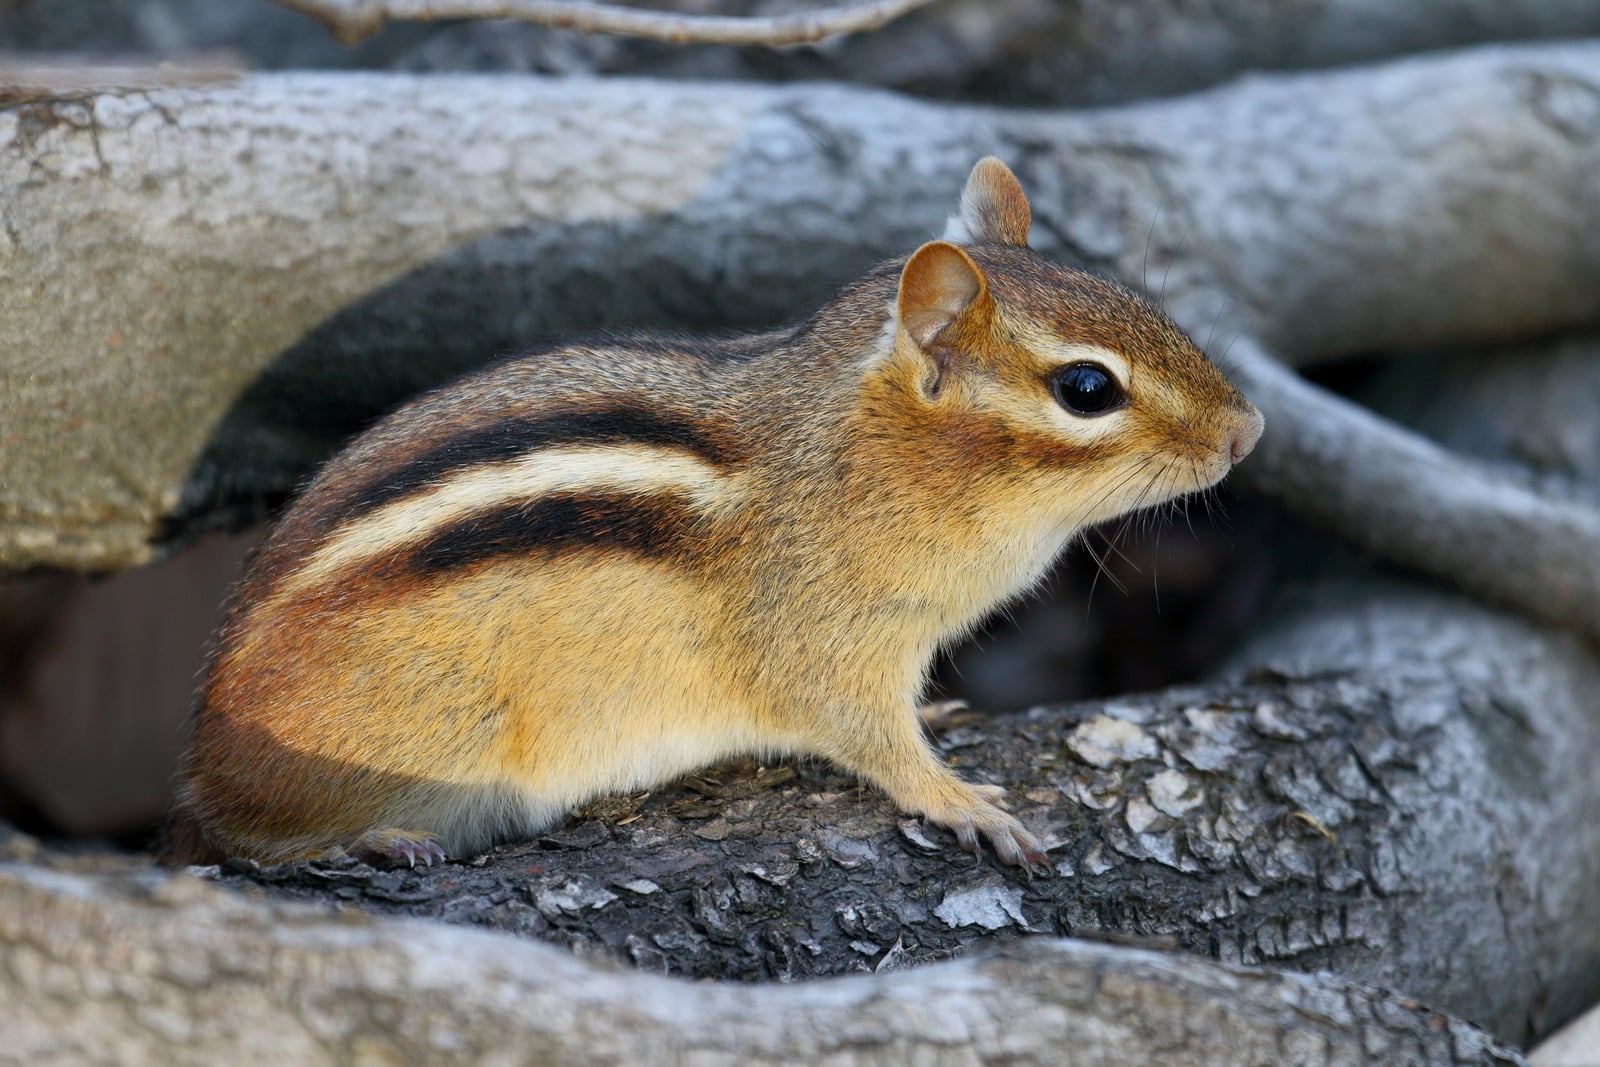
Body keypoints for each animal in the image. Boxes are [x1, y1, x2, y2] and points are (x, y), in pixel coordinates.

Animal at [166, 158, 1262, 874]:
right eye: (1086, 388)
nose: (1248, 430)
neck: (858, 455)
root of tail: (203, 753)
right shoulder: (825, 647)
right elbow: (874, 744)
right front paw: (958, 799)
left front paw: (944, 715)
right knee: (231, 840)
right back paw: (353, 841)